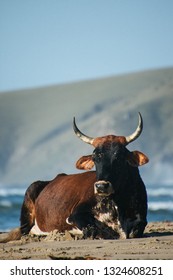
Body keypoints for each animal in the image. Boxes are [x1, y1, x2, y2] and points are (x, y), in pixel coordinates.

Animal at [0, 112, 149, 242]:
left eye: (119, 157)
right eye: (95, 158)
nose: (101, 186)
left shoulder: (141, 219)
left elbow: (135, 230)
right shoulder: (75, 214)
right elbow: (92, 230)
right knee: (24, 231)